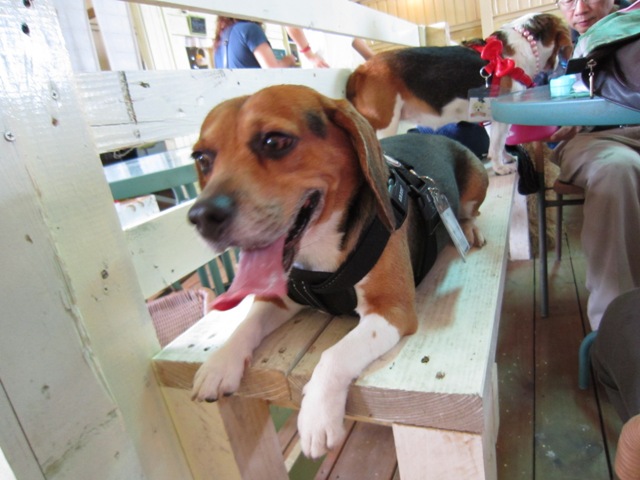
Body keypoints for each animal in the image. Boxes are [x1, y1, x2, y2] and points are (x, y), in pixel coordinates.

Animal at [187, 84, 489, 459]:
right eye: (201, 158)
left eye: (275, 141)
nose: (201, 217)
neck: (316, 252)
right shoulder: (279, 299)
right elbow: (247, 325)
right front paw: (220, 362)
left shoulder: (391, 311)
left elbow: (334, 354)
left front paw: (317, 415)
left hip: (475, 183)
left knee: (469, 211)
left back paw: (469, 229)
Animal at [346, 12, 572, 175]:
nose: (559, 67)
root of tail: (360, 70)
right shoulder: (501, 115)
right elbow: (497, 144)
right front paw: (500, 167)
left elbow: (497, 143)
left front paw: (505, 158)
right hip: (384, 127)